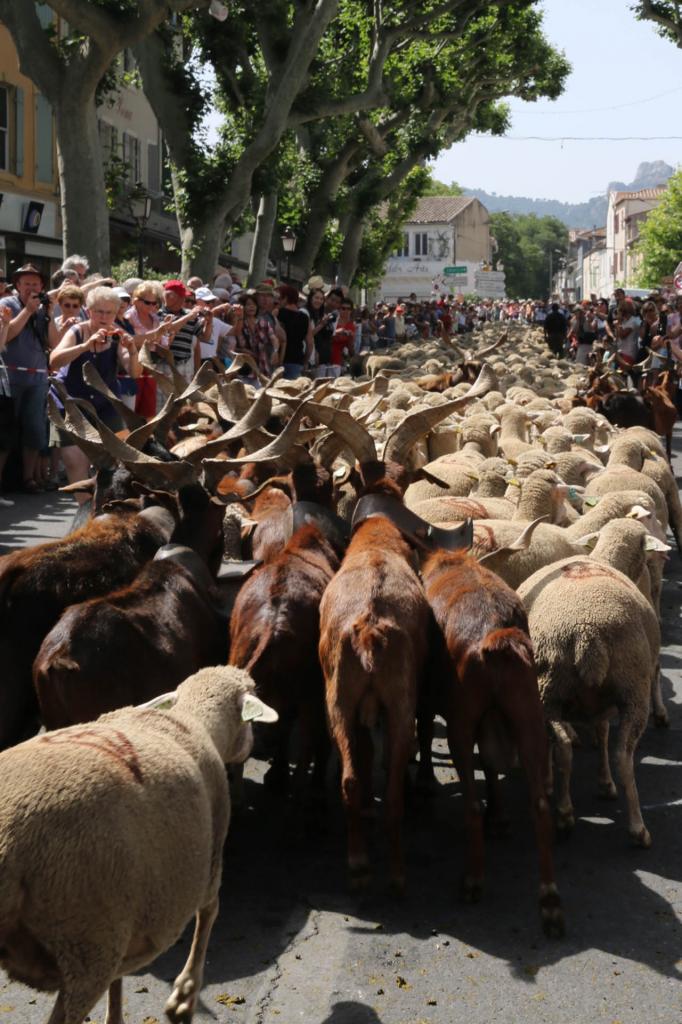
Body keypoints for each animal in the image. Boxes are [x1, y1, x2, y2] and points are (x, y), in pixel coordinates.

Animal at [0, 663, 276, 1024]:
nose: (257, 747)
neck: (189, 720)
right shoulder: (212, 854)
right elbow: (209, 912)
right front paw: (184, 995)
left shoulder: (130, 909)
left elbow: (119, 978)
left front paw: (116, 1014)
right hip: (86, 942)